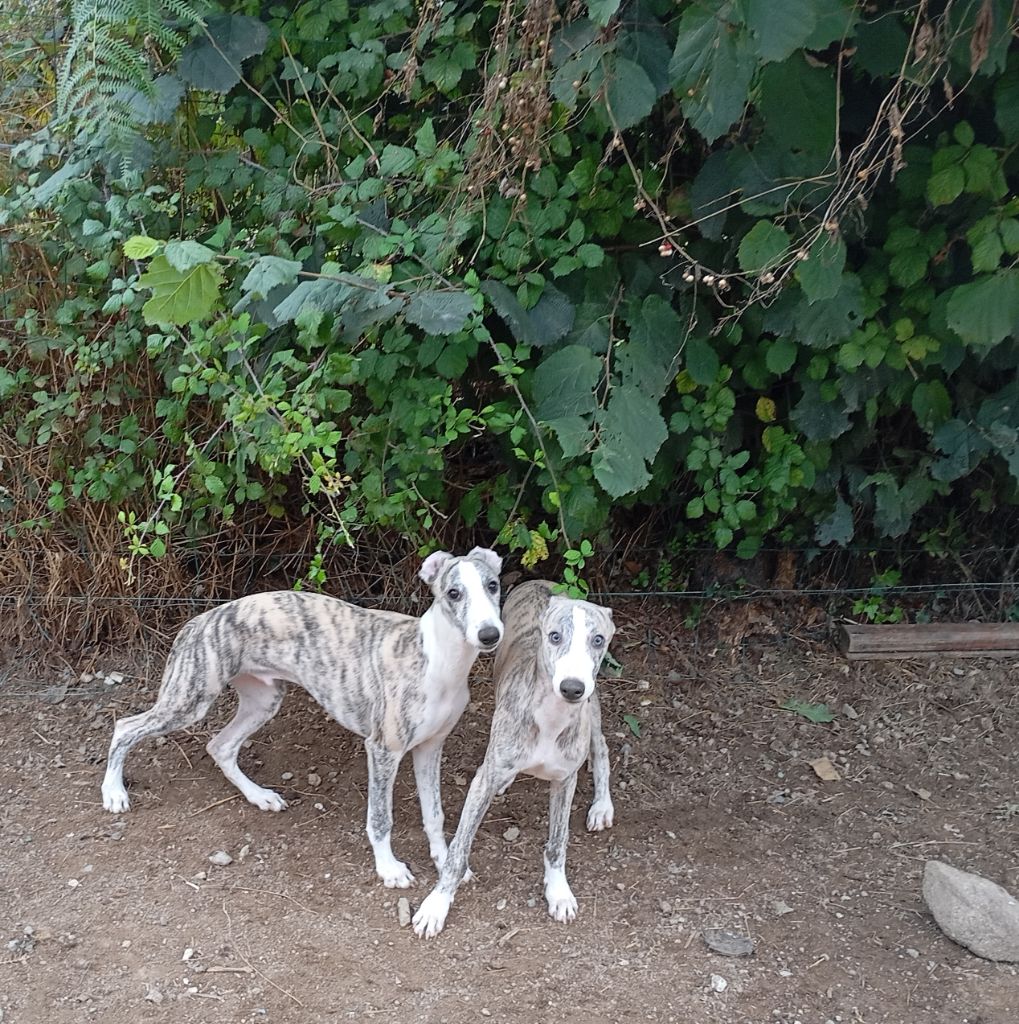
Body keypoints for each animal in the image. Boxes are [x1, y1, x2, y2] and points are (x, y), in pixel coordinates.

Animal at [97, 548, 503, 892]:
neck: (436, 659)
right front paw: (389, 869)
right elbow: (380, 818)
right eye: (453, 592)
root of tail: (196, 621)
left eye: (493, 585)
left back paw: (260, 797)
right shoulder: (382, 749)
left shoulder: (430, 747)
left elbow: (434, 814)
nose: (489, 635)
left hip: (262, 700)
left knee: (220, 745)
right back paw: (114, 792)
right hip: (188, 700)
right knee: (125, 727)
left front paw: (446, 862)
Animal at [411, 581, 614, 937]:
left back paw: (602, 806)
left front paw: (558, 892)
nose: (572, 688)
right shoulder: (483, 781)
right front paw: (435, 906)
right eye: (554, 636)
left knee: (600, 747)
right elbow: (458, 851)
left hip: (593, 709)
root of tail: (541, 582)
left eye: (598, 639)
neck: (551, 718)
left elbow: (557, 842)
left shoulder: (565, 780)